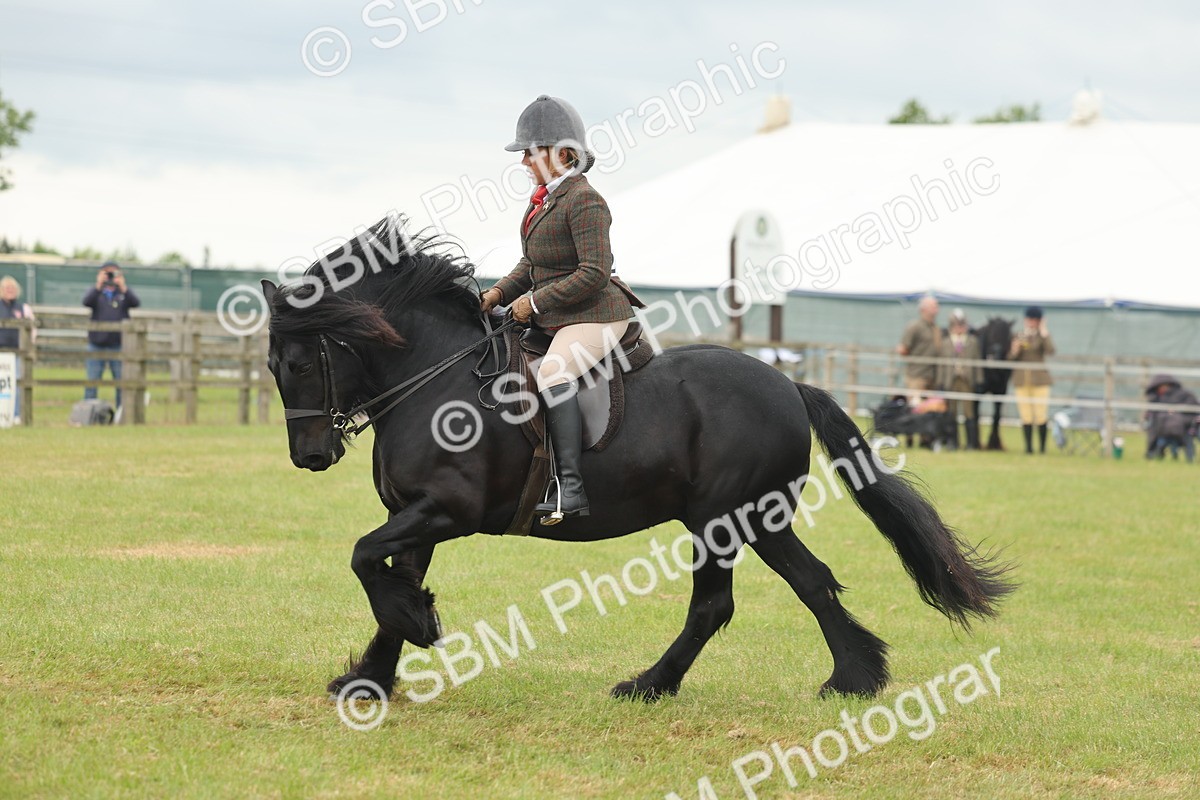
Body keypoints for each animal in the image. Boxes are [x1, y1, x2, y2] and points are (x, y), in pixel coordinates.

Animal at [975, 317, 1015, 451]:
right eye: (991, 335)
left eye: (1008, 336)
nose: (995, 356)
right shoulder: (976, 391)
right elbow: (976, 414)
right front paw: (977, 443)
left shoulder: (1001, 391)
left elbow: (997, 415)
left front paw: (994, 443)